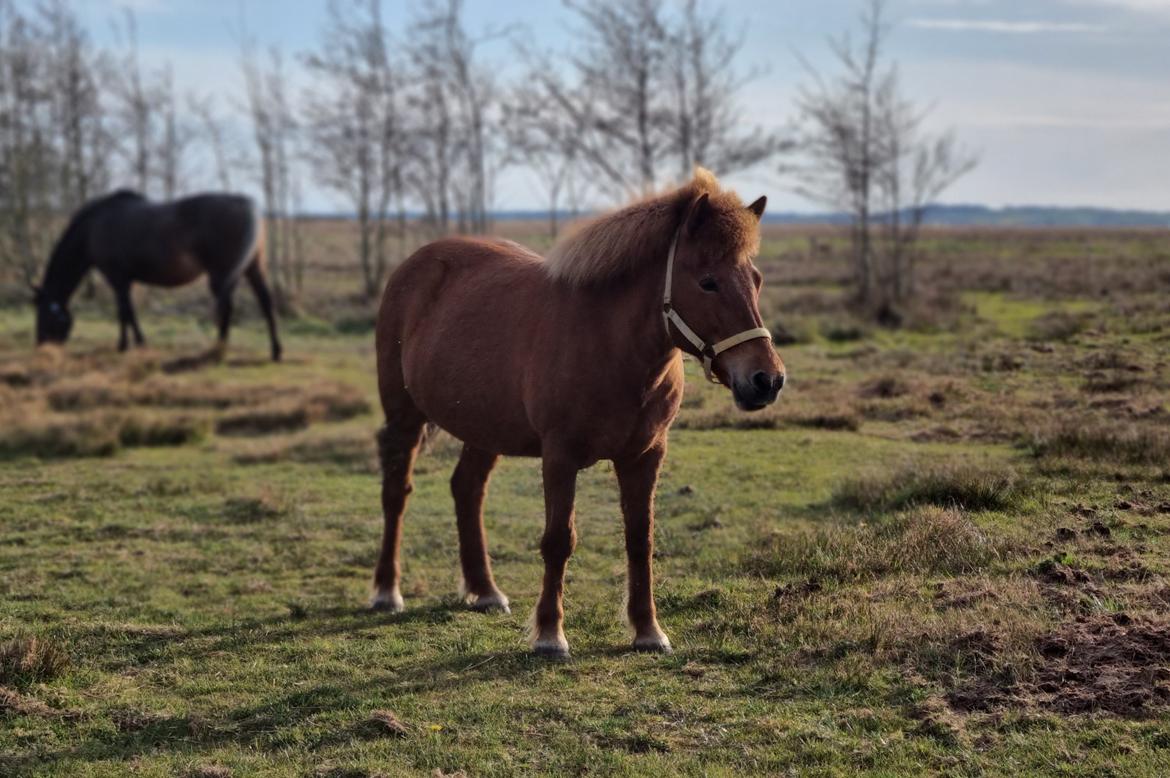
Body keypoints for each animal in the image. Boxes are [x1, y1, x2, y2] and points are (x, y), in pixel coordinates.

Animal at [35, 188, 281, 360]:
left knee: (228, 307)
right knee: (266, 302)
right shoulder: (126, 281)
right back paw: (275, 352)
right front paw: (126, 344)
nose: (40, 345)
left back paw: (217, 350)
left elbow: (126, 311)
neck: (94, 227)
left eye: (43, 314)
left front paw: (132, 344)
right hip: (254, 268)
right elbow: (125, 312)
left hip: (222, 274)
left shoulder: (117, 278)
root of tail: (244, 203)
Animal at [369, 169, 781, 655]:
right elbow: (558, 540)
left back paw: (484, 591)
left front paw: (648, 631)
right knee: (397, 490)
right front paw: (550, 635)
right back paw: (386, 591)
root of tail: (414, 265)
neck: (609, 343)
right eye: (708, 281)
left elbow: (640, 539)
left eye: (755, 278)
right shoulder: (560, 456)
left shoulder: (645, 455)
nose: (766, 379)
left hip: (484, 427)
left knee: (467, 489)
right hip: (404, 414)